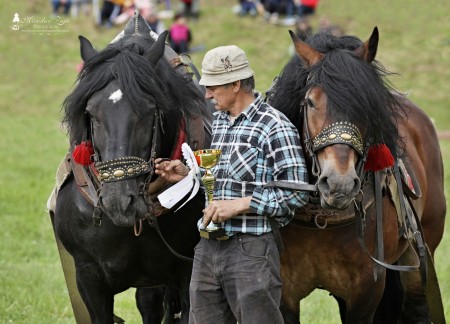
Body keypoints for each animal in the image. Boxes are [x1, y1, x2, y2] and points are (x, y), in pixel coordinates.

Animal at [270, 27, 446, 324]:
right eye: (310, 102)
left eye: (367, 104)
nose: (338, 183)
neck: (321, 218)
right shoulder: (285, 294)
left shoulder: (366, 291)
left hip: (420, 254)